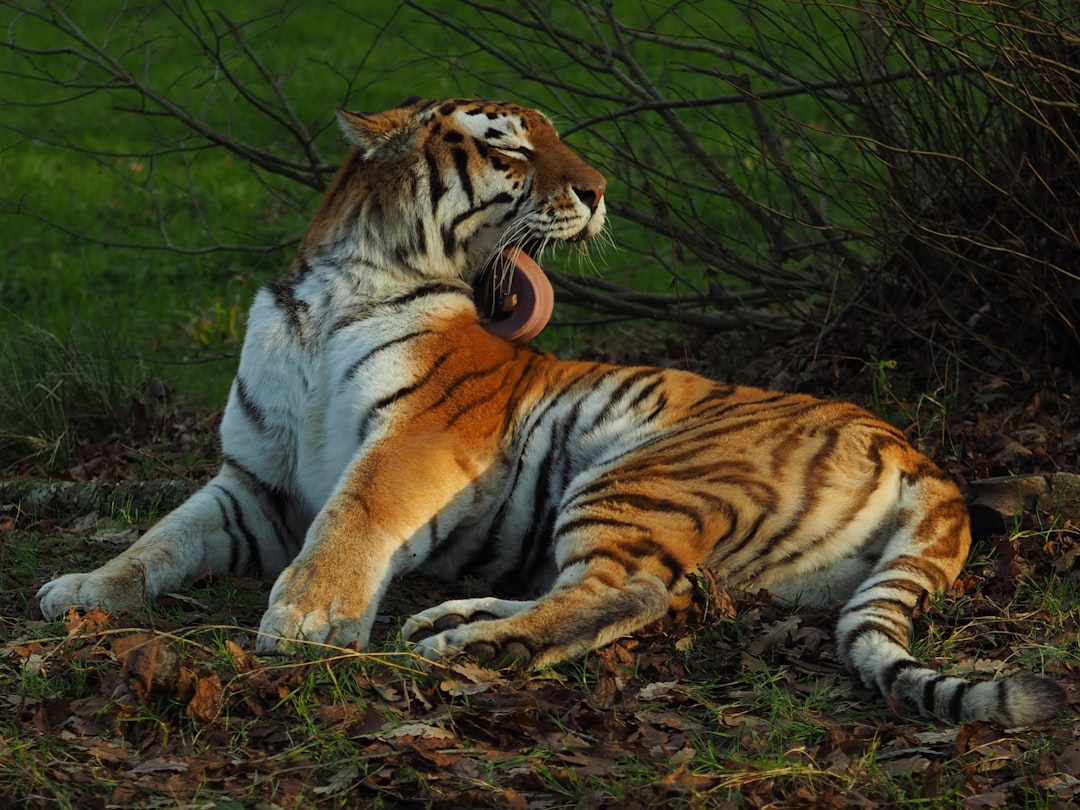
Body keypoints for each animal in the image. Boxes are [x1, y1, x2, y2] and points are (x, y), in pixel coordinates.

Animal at [35, 97, 1064, 726]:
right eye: (510, 146)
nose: (602, 192)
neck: (338, 283)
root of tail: (920, 455)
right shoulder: (254, 483)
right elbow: (159, 540)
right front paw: (81, 591)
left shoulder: (416, 436)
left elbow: (355, 515)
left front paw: (309, 622)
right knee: (639, 591)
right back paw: (448, 620)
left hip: (637, 473)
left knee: (627, 592)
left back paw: (466, 644)